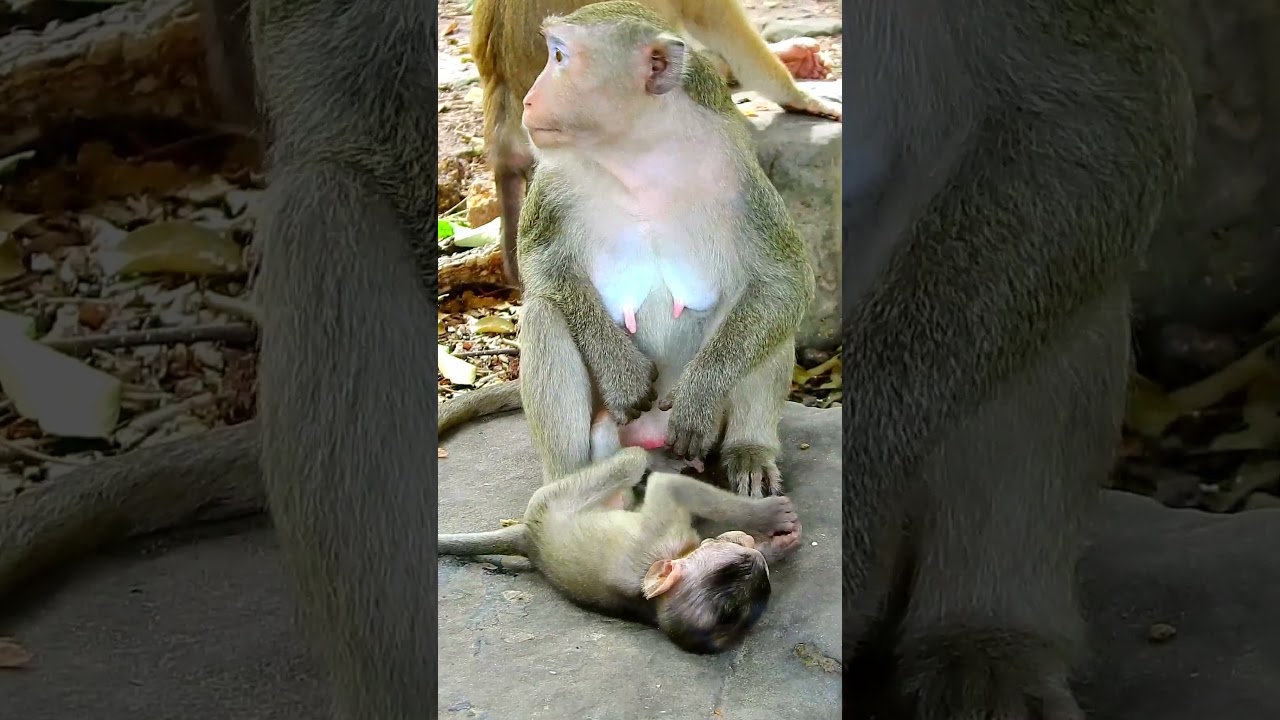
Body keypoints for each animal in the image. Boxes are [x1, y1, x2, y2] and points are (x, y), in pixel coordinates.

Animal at [438, 445, 803, 654]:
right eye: (731, 560)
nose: (741, 540)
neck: (651, 606)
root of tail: (527, 538)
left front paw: (776, 545)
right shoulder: (661, 536)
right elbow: (667, 488)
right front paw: (768, 515)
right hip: (556, 496)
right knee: (633, 459)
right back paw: (659, 459)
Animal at [513, 2, 815, 503]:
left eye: (559, 56)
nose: (528, 101)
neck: (637, 153)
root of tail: (652, 441)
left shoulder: (738, 173)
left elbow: (785, 280)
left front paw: (700, 396)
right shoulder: (552, 177)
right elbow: (540, 267)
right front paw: (621, 372)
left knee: (769, 310)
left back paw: (748, 451)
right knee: (544, 313)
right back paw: (569, 486)